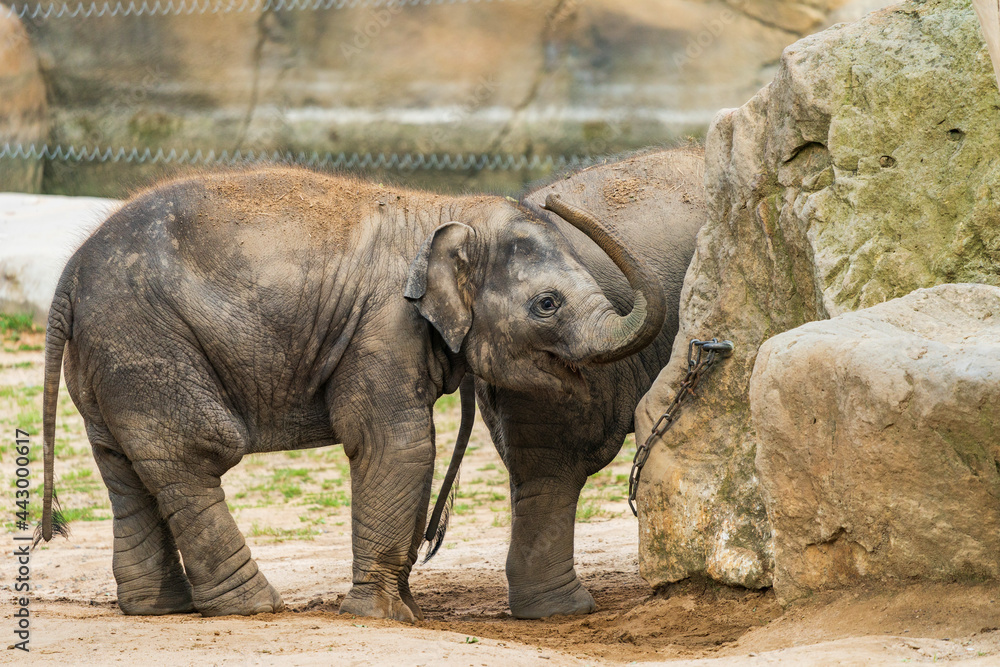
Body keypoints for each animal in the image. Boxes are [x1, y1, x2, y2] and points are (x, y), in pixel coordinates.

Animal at [37, 165, 667, 622]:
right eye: (546, 304)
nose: (558, 203)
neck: (445, 213)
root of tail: (68, 274)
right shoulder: (383, 326)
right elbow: (398, 444)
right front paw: (384, 616)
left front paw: (406, 610)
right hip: (145, 339)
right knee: (192, 456)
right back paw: (252, 607)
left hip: (110, 359)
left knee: (125, 468)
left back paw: (157, 608)